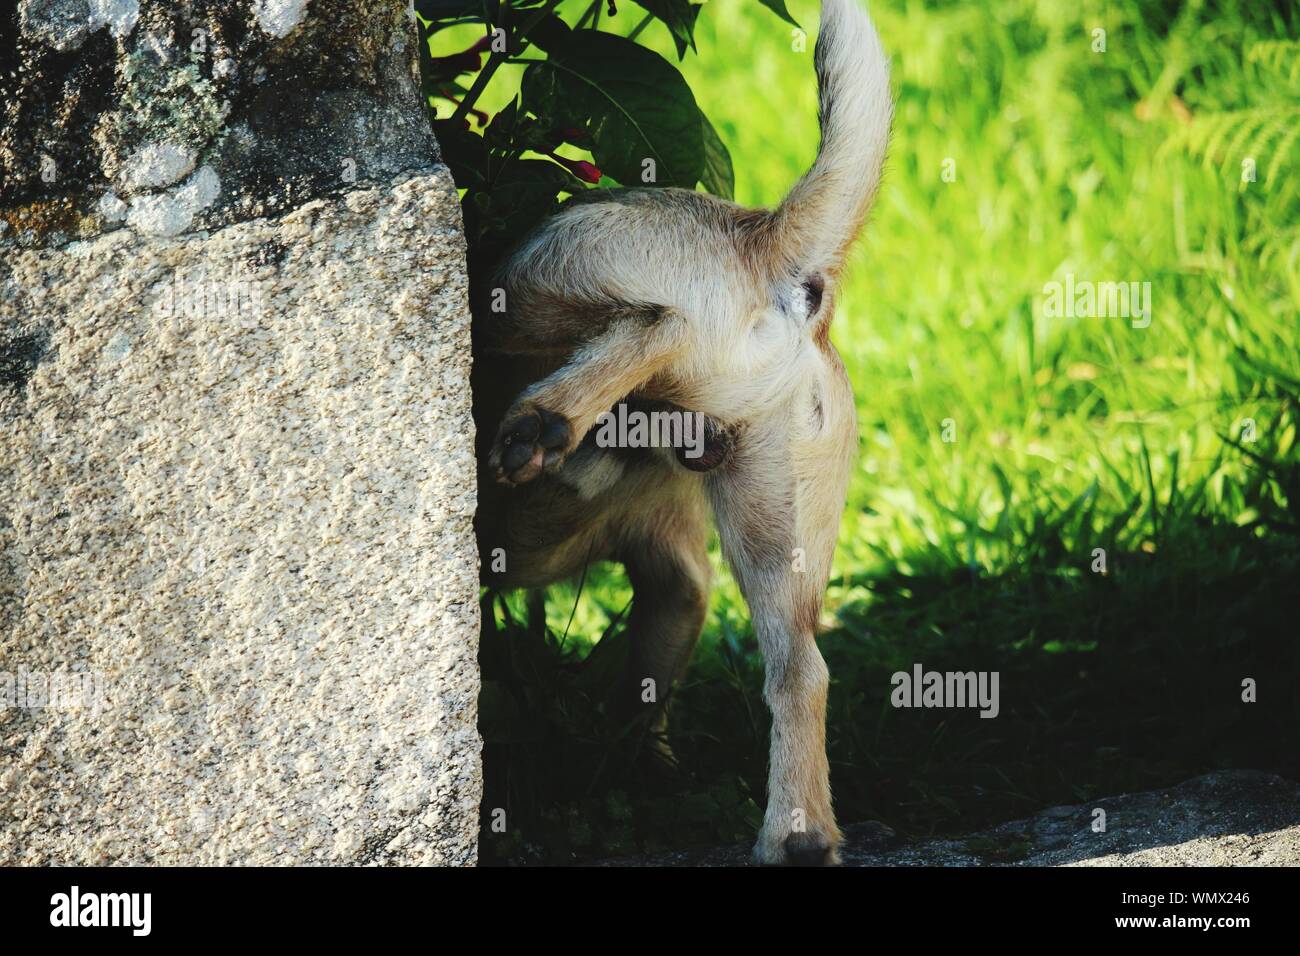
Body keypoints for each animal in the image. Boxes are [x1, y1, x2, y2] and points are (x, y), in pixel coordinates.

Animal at [470, 0, 894, 868]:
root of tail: (759, 238)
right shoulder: (678, 586)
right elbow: (646, 700)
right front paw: (648, 775)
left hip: (528, 285)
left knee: (651, 322)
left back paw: (545, 421)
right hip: (772, 521)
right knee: (800, 669)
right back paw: (797, 834)